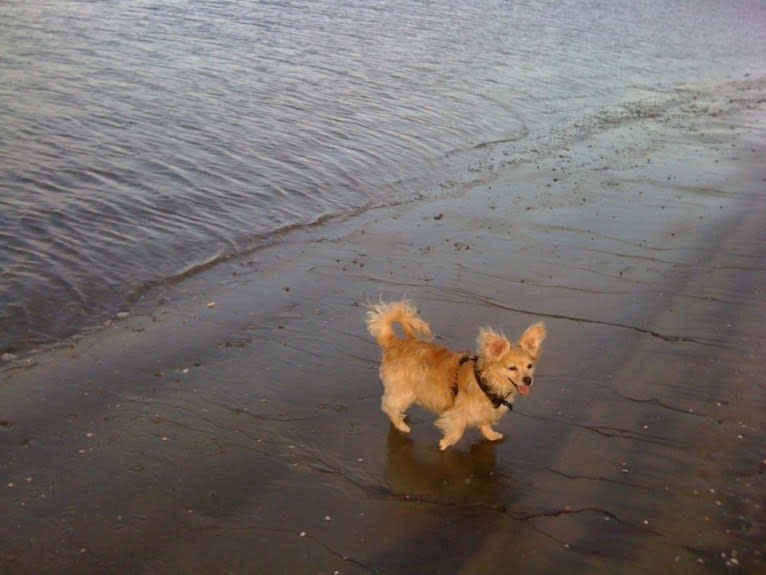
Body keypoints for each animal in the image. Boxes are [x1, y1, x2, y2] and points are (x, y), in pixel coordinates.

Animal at [366, 300, 544, 452]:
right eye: (512, 368)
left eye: (529, 366)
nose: (528, 380)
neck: (488, 382)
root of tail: (394, 342)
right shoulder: (458, 412)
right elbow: (459, 430)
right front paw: (446, 443)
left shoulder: (485, 410)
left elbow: (485, 423)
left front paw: (491, 435)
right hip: (405, 390)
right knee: (389, 405)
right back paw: (401, 424)